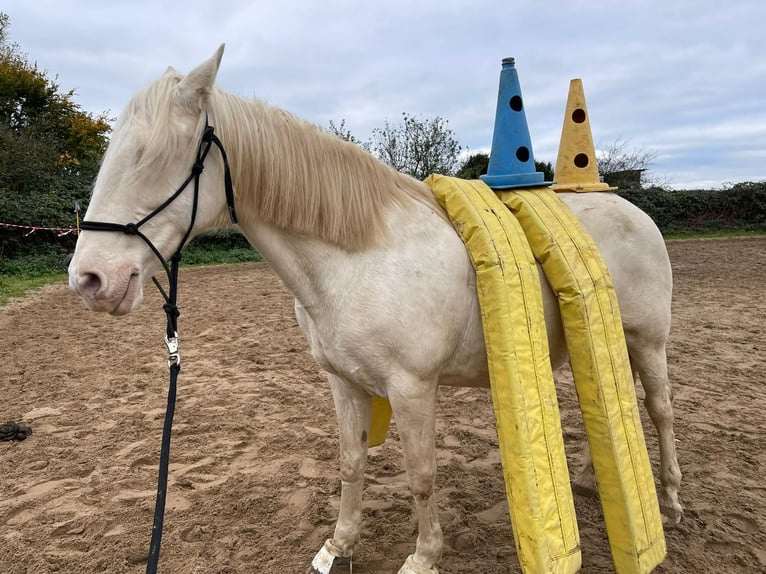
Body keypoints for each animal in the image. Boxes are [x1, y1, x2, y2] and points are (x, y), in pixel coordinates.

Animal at [69, 45, 684, 574]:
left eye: (152, 156)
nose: (89, 279)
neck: (359, 258)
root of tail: (630, 210)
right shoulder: (344, 383)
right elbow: (351, 463)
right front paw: (338, 546)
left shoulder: (413, 388)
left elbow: (421, 475)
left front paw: (424, 556)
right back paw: (590, 479)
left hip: (647, 342)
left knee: (658, 410)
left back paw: (672, 501)